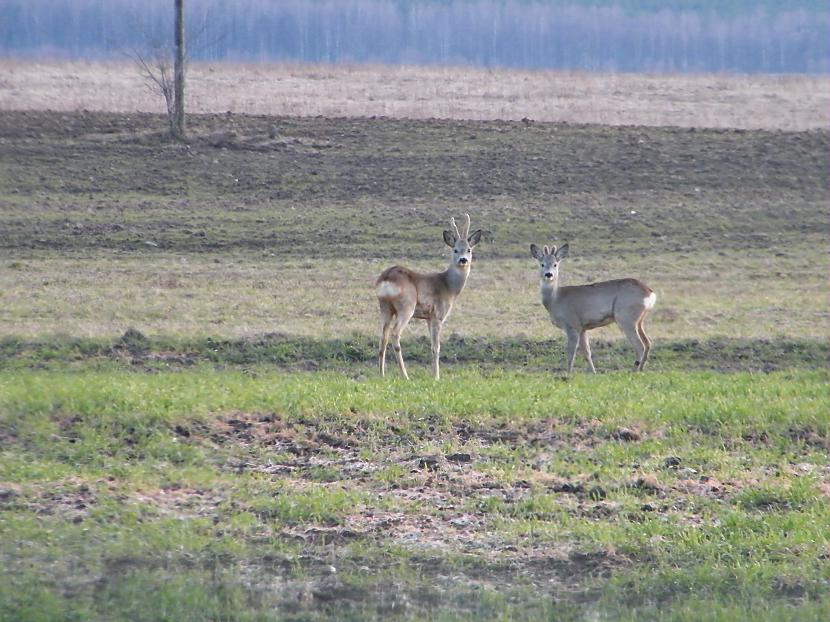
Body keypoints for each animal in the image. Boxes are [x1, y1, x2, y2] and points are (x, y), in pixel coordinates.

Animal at [376, 214, 484, 380]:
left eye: (469, 249)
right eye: (455, 250)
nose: (463, 260)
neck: (448, 286)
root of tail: (387, 278)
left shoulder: (427, 317)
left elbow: (431, 345)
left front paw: (433, 374)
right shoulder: (438, 315)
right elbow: (436, 346)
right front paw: (436, 377)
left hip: (385, 307)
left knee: (384, 336)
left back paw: (382, 374)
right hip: (406, 307)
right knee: (395, 334)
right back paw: (405, 376)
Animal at [532, 241, 656, 372]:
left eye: (555, 264)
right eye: (542, 264)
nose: (548, 274)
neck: (555, 299)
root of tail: (650, 293)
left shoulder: (572, 324)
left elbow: (571, 353)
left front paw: (568, 373)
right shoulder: (582, 328)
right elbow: (587, 352)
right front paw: (593, 372)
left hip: (626, 317)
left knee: (640, 345)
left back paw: (634, 371)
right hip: (639, 320)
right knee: (648, 343)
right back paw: (641, 370)